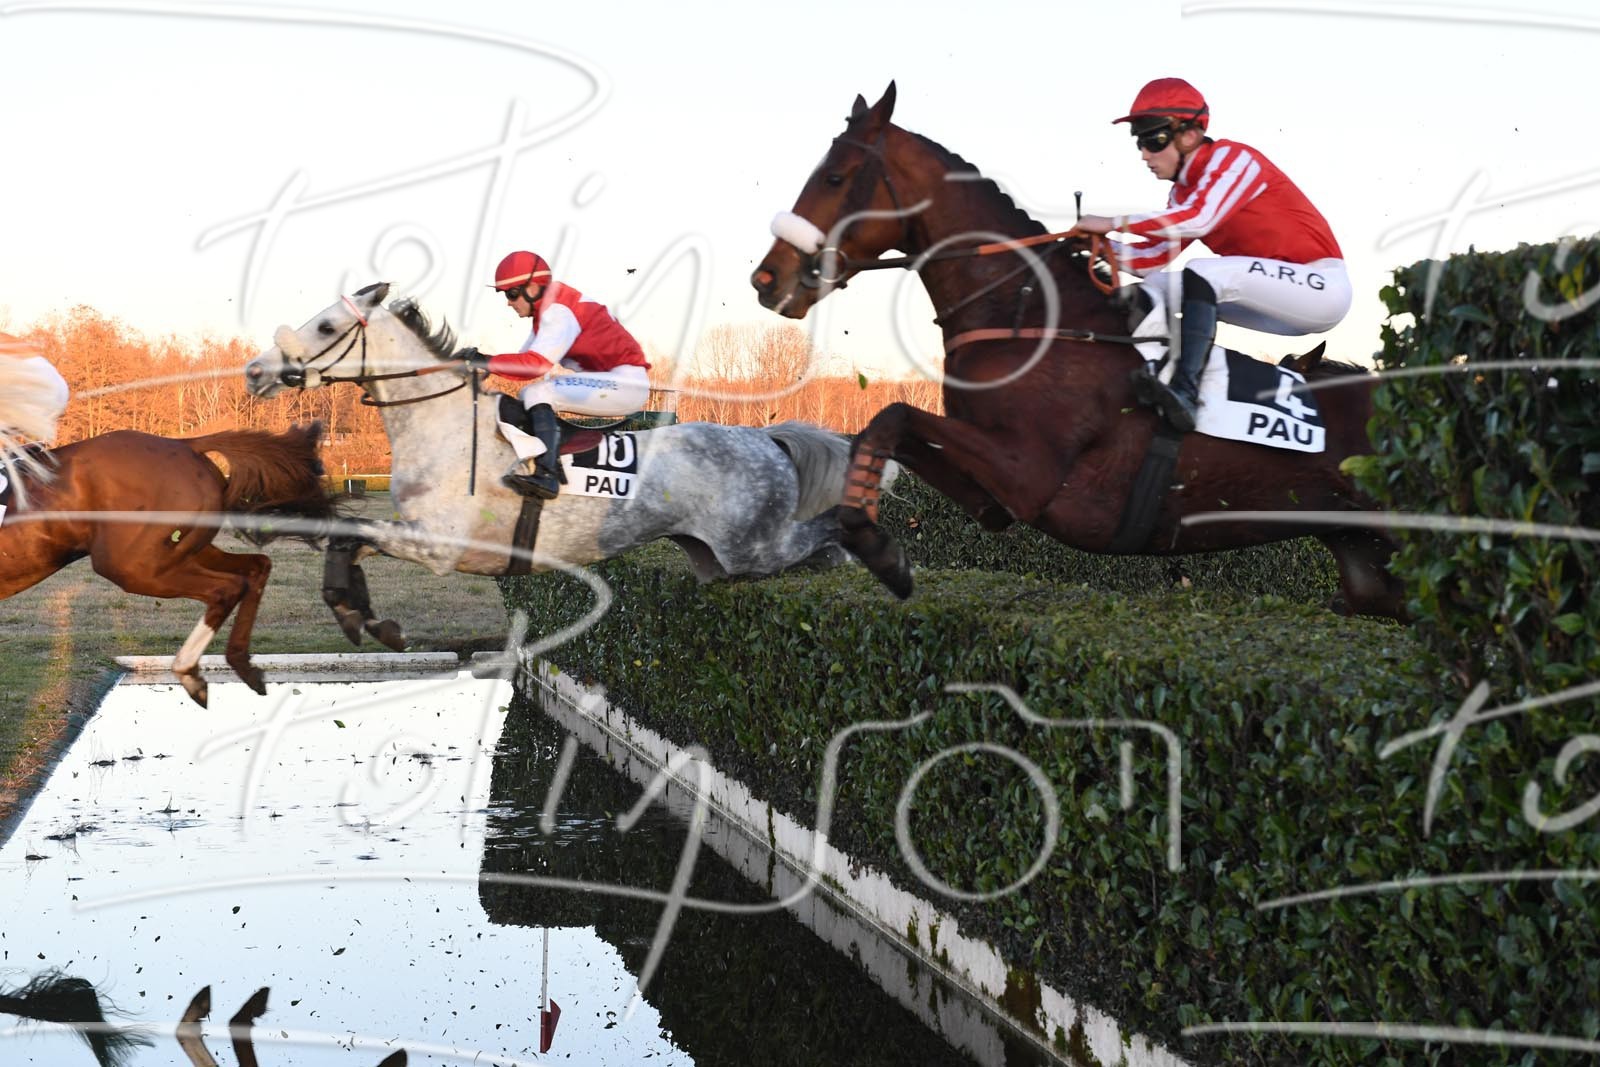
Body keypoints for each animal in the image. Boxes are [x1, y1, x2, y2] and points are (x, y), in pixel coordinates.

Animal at [0, 419, 336, 706]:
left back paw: (189, 672)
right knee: (256, 567)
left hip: (132, 566)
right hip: (183, 551)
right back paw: (243, 665)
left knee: (226, 588)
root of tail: (185, 444)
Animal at [242, 284, 873, 647]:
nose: (255, 371)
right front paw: (366, 620)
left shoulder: (441, 547)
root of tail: (767, 439)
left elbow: (349, 531)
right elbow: (347, 538)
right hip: (716, 561)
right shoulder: (413, 533)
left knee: (822, 538)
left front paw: (367, 620)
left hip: (756, 548)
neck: (443, 426)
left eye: (326, 327)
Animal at [750, 83, 1404, 619]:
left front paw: (875, 545)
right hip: (1369, 567)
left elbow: (891, 416)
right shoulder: (995, 493)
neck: (1032, 319)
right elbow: (891, 432)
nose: (767, 278)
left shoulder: (1032, 476)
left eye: (835, 177)